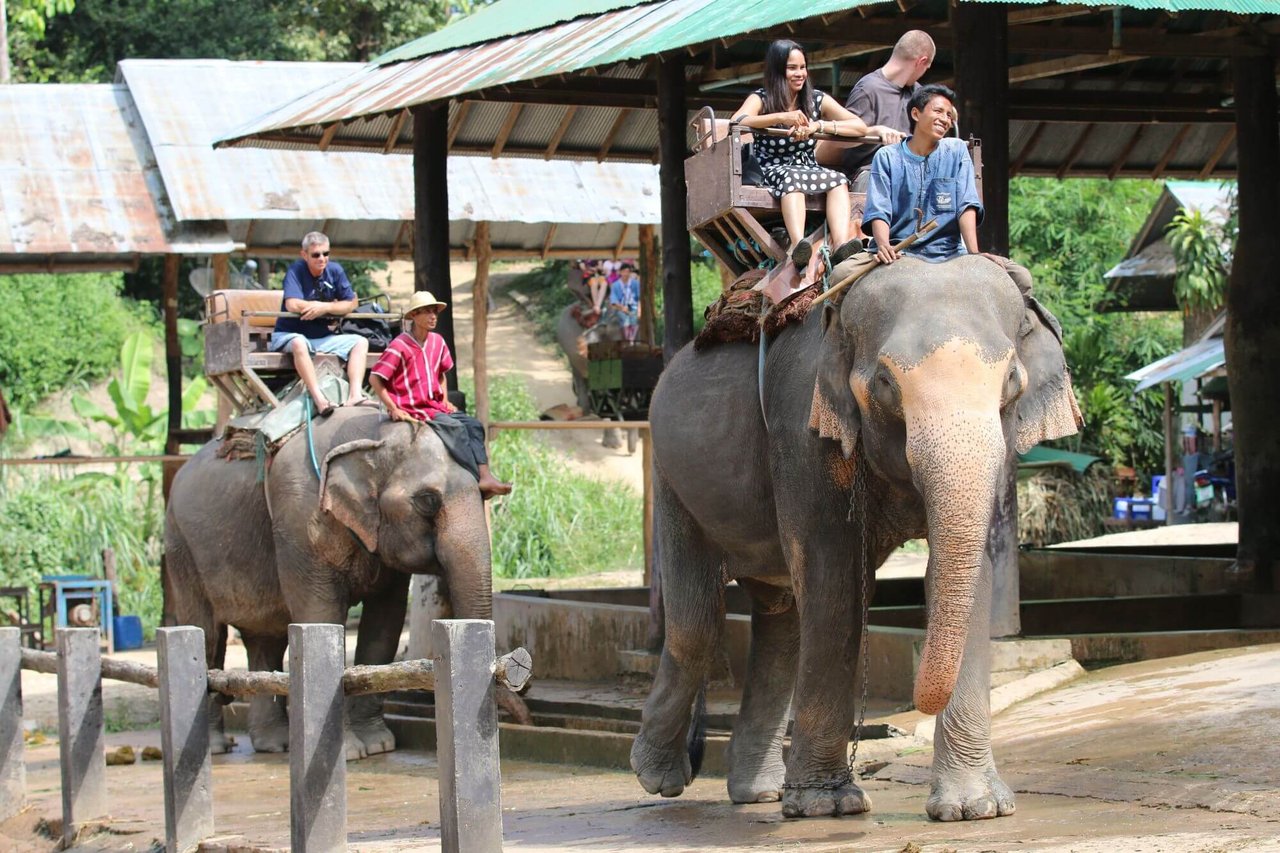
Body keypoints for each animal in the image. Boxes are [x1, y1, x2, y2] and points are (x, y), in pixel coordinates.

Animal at [167, 407, 527, 758]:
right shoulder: (299, 524)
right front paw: (351, 752)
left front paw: (378, 745)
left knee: (265, 641)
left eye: (484, 494)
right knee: (207, 635)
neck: (372, 437)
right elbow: (321, 616)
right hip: (182, 549)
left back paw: (275, 744)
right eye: (427, 500)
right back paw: (218, 747)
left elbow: (384, 625)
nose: (524, 718)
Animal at [629, 253, 1080, 819]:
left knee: (780, 619)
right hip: (672, 477)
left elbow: (964, 573)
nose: (917, 701)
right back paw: (658, 778)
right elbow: (836, 580)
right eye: (886, 384)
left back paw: (758, 792)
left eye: (1012, 384)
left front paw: (974, 808)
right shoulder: (802, 428)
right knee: (699, 623)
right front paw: (828, 804)